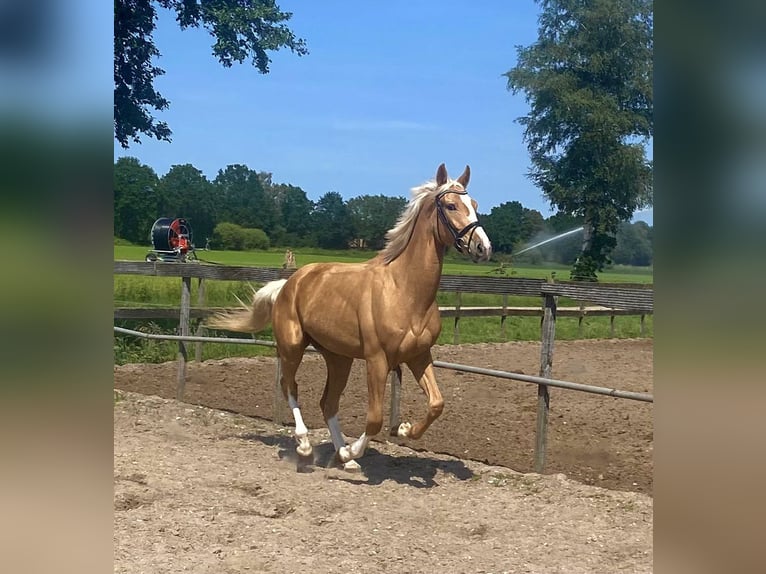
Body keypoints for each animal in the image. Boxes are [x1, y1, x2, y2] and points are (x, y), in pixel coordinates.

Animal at [208, 163, 492, 471]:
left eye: (475, 205)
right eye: (451, 205)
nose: (483, 248)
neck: (405, 291)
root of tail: (289, 283)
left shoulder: (419, 356)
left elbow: (437, 404)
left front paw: (404, 430)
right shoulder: (377, 360)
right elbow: (375, 418)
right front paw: (356, 449)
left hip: (338, 358)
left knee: (327, 403)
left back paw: (343, 457)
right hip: (292, 346)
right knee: (289, 387)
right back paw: (307, 446)